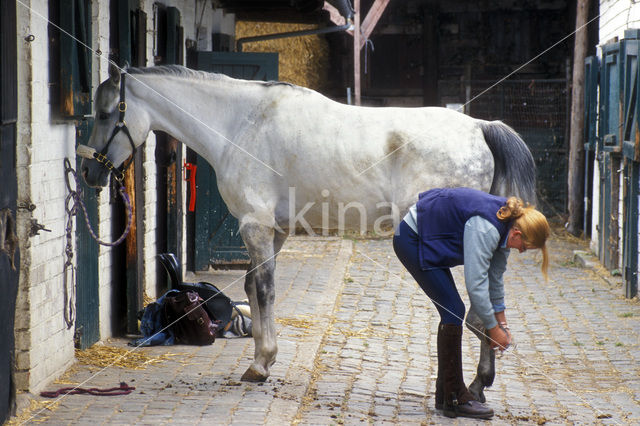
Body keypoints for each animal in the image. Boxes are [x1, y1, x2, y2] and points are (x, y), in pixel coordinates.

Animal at [82, 63, 536, 400]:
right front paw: (263, 358)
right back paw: (479, 384)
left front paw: (260, 363)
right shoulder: (276, 231)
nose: (89, 172)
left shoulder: (256, 226)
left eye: (105, 114)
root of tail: (480, 126)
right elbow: (252, 289)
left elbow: (263, 291)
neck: (240, 125)